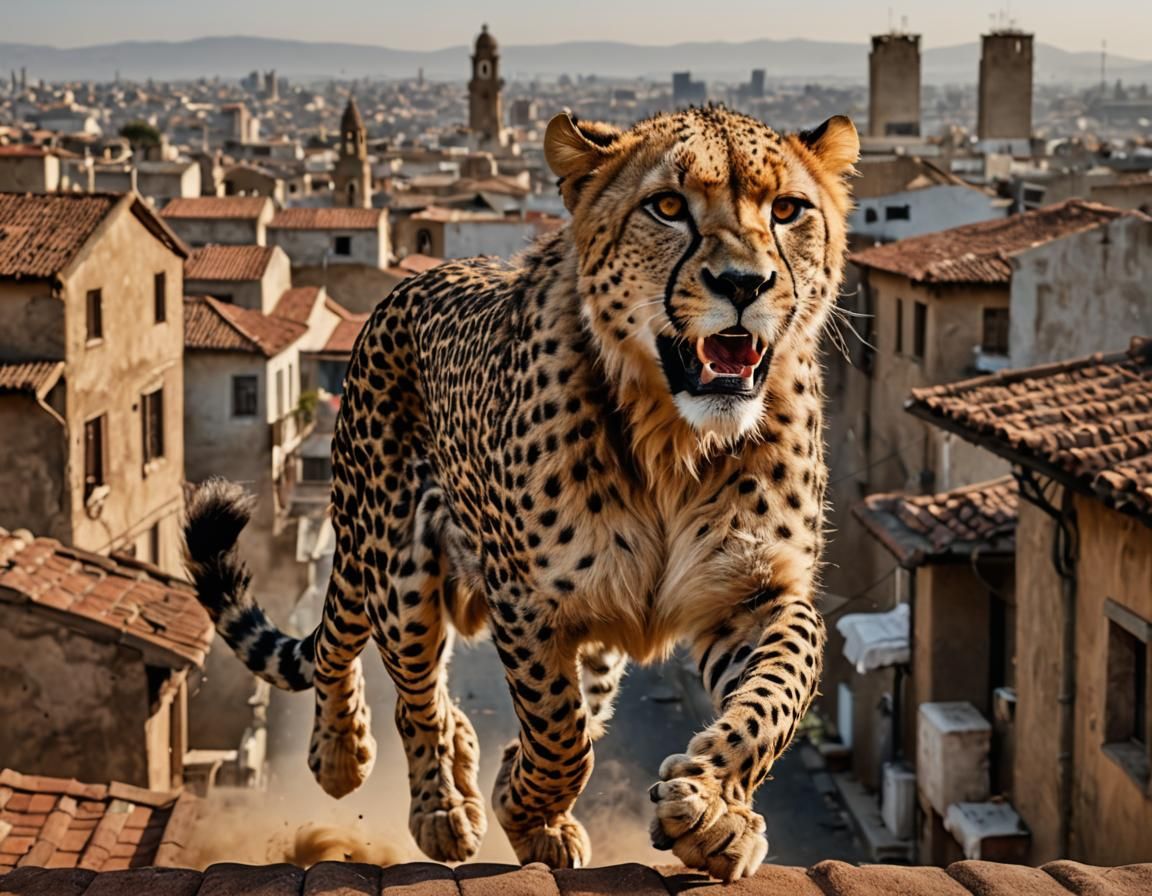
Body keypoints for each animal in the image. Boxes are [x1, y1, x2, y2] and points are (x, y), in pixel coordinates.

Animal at [182, 105, 858, 881]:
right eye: (667, 207)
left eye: (788, 210)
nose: (744, 284)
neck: (674, 440)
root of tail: (414, 281)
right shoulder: (527, 601)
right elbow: (559, 730)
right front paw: (525, 802)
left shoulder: (751, 596)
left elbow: (774, 695)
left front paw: (711, 809)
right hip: (391, 560)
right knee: (390, 680)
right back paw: (386, 781)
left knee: (458, 697)